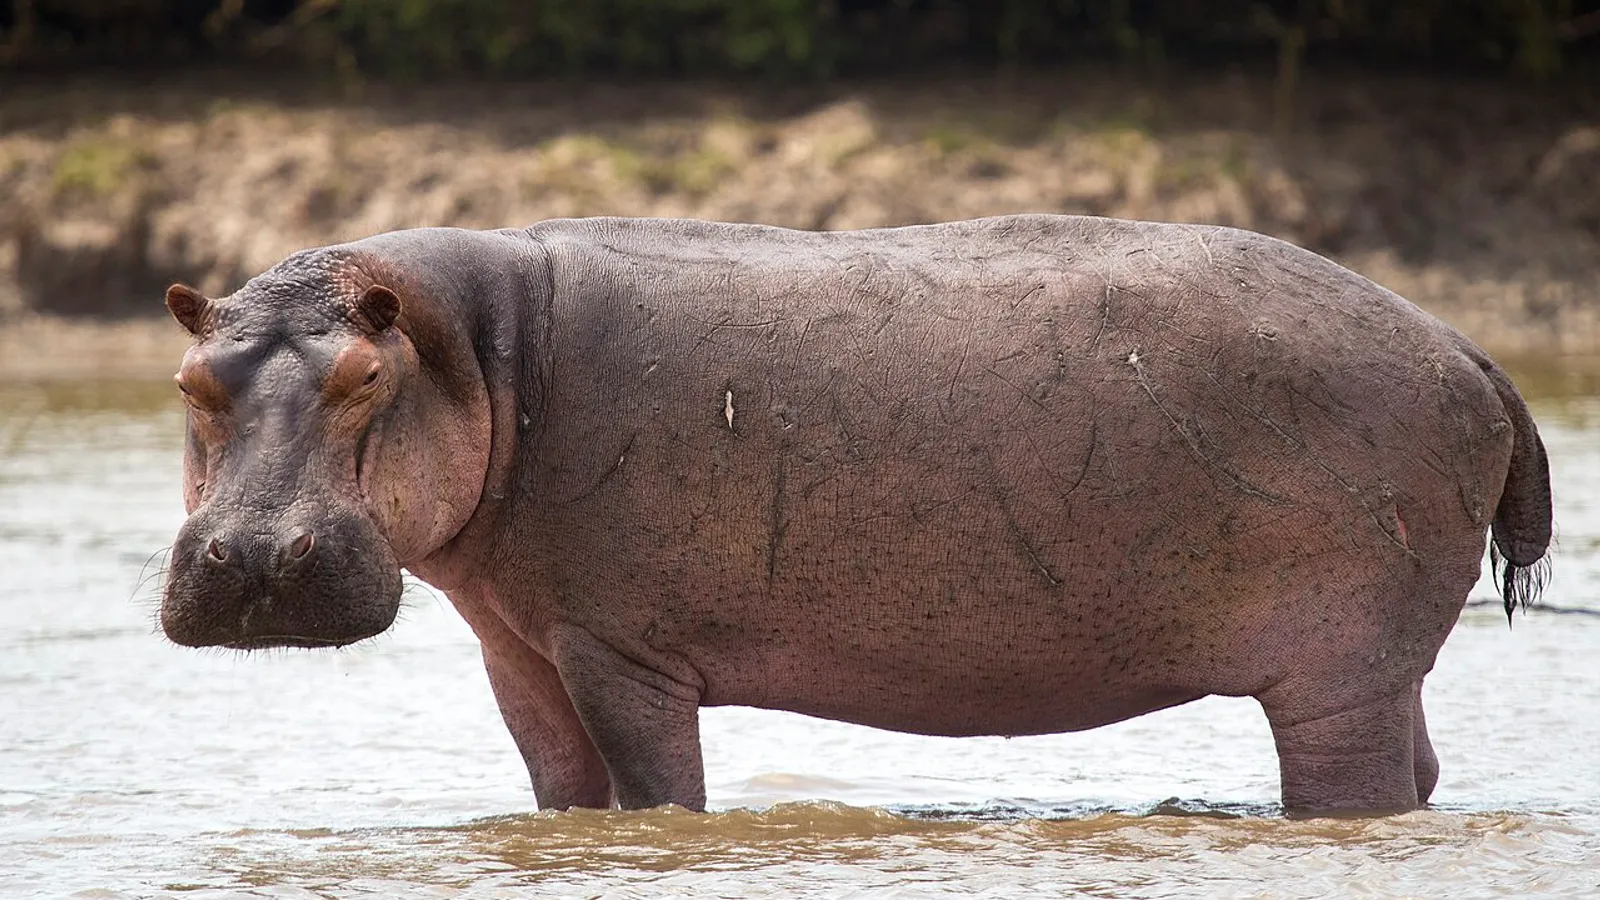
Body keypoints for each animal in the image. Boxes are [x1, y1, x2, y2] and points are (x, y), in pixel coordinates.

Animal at [159, 214, 1551, 814]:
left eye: (363, 377)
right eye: (189, 380)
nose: (253, 559)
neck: (481, 354)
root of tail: (1466, 347)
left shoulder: (621, 650)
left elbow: (656, 793)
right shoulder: (521, 646)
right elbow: (562, 793)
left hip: (1336, 669)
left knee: (1356, 782)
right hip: (1378, 663)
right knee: (1421, 771)